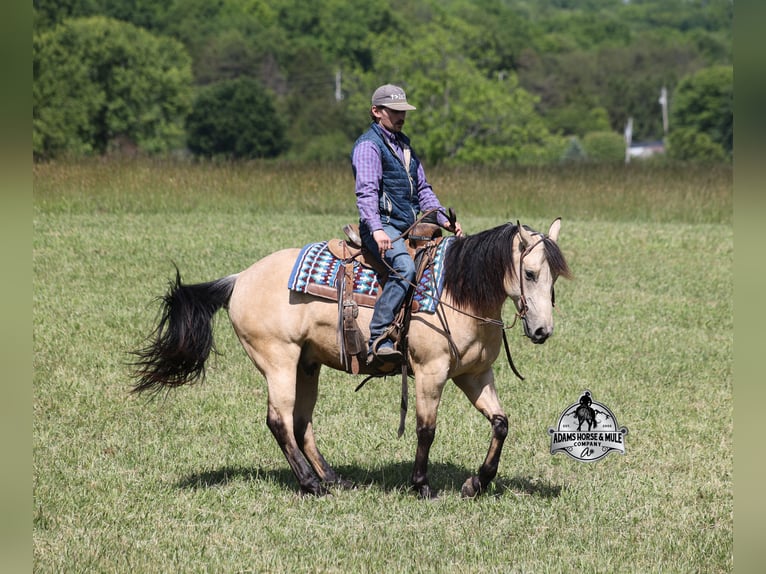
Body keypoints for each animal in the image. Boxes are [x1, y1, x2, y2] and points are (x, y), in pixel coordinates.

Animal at [131, 218, 571, 498]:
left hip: (306, 365)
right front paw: (422, 485)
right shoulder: (430, 372)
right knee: (279, 421)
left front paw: (476, 483)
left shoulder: (475, 374)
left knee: (301, 424)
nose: (542, 331)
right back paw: (311, 485)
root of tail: (239, 279)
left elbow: (501, 423)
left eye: (554, 276)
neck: (458, 291)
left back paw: (333, 479)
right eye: (530, 273)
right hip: (278, 361)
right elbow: (426, 429)